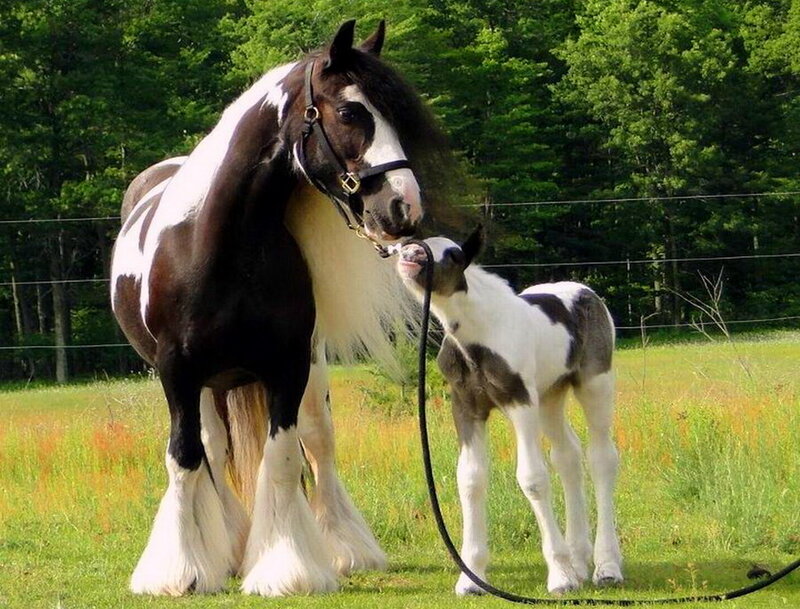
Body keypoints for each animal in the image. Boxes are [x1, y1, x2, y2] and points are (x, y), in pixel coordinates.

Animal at [110, 20, 450, 597]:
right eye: (350, 112)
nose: (403, 207)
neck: (221, 246)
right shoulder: (177, 372)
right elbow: (184, 458)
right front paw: (179, 570)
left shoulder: (288, 366)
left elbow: (286, 458)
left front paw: (285, 568)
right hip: (207, 384)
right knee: (210, 449)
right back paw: (223, 547)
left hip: (306, 370)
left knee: (318, 442)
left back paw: (343, 549)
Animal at [396, 229, 624, 596]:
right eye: (416, 243)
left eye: (453, 255)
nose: (410, 255)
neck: (477, 335)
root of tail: (586, 291)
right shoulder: (466, 407)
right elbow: (470, 478)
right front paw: (471, 578)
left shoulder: (520, 402)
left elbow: (532, 478)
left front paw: (560, 577)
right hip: (550, 395)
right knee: (568, 456)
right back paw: (579, 562)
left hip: (594, 383)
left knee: (601, 457)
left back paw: (606, 567)